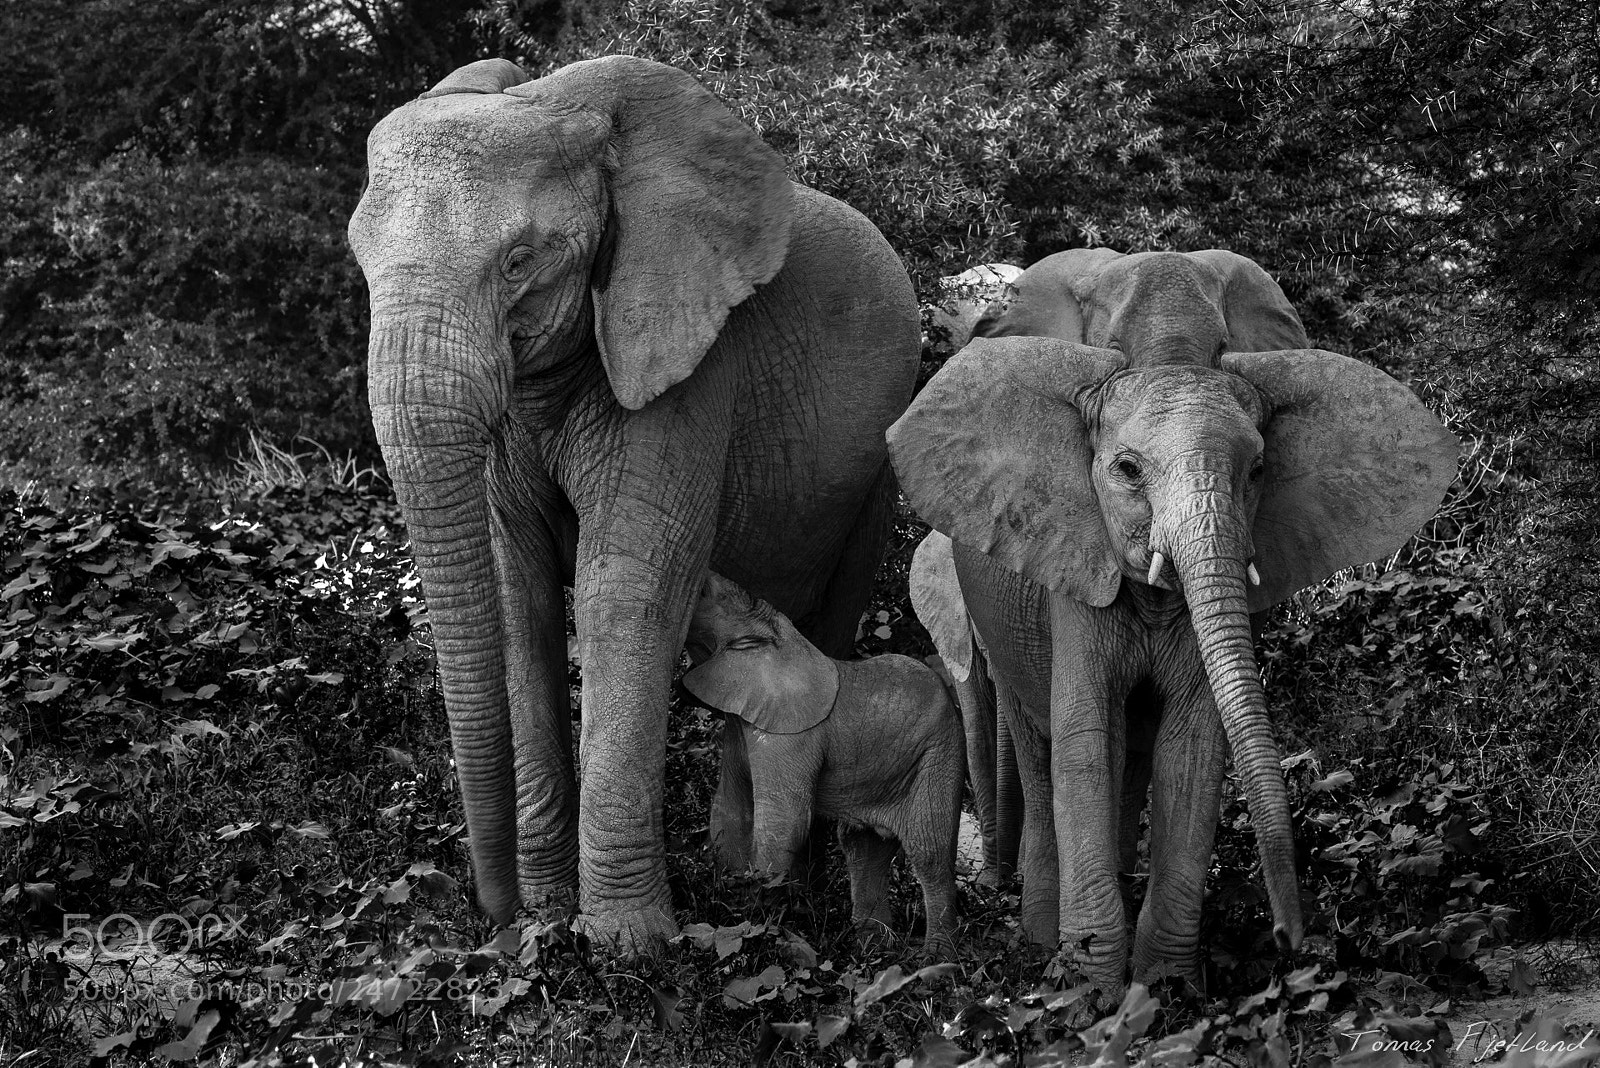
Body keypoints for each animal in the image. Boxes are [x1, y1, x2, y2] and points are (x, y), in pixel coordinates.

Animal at [347, 55, 919, 954]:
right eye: (358, 262)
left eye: (519, 261)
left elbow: (625, 591)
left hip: (875, 465)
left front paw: (626, 948)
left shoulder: (692, 362)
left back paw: (789, 898)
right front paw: (550, 918)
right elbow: (518, 596)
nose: (492, 918)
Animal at [683, 573, 965, 957]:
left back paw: (936, 960)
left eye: (703, 591)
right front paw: (729, 891)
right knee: (863, 848)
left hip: (939, 754)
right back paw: (873, 948)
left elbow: (786, 822)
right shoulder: (739, 730)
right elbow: (730, 808)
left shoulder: (793, 737)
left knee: (929, 852)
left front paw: (755, 916)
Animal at [886, 248, 1459, 992]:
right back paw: (1042, 941)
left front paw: (1162, 986)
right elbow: (1085, 737)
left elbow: (1191, 744)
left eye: (1258, 469)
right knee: (1041, 745)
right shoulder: (1078, 554)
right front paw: (1092, 991)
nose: (1291, 937)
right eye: (1127, 469)